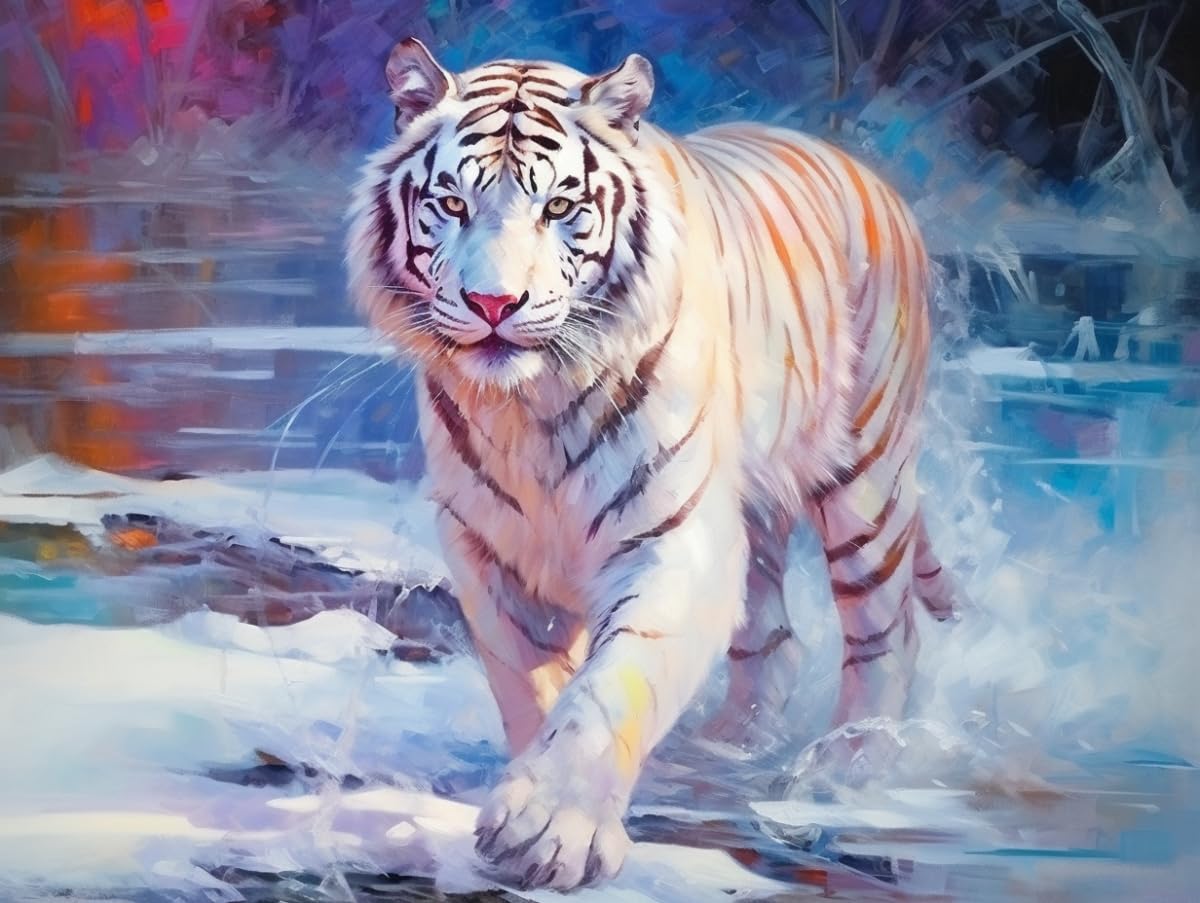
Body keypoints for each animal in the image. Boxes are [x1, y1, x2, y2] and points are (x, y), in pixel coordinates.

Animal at [345, 38, 961, 890]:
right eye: (453, 205)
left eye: (559, 209)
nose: (494, 304)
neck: (532, 407)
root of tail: (863, 168)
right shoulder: (491, 550)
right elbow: (533, 687)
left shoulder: (675, 538)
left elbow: (612, 686)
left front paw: (550, 833)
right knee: (772, 642)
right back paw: (727, 747)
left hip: (865, 478)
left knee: (887, 633)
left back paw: (850, 770)